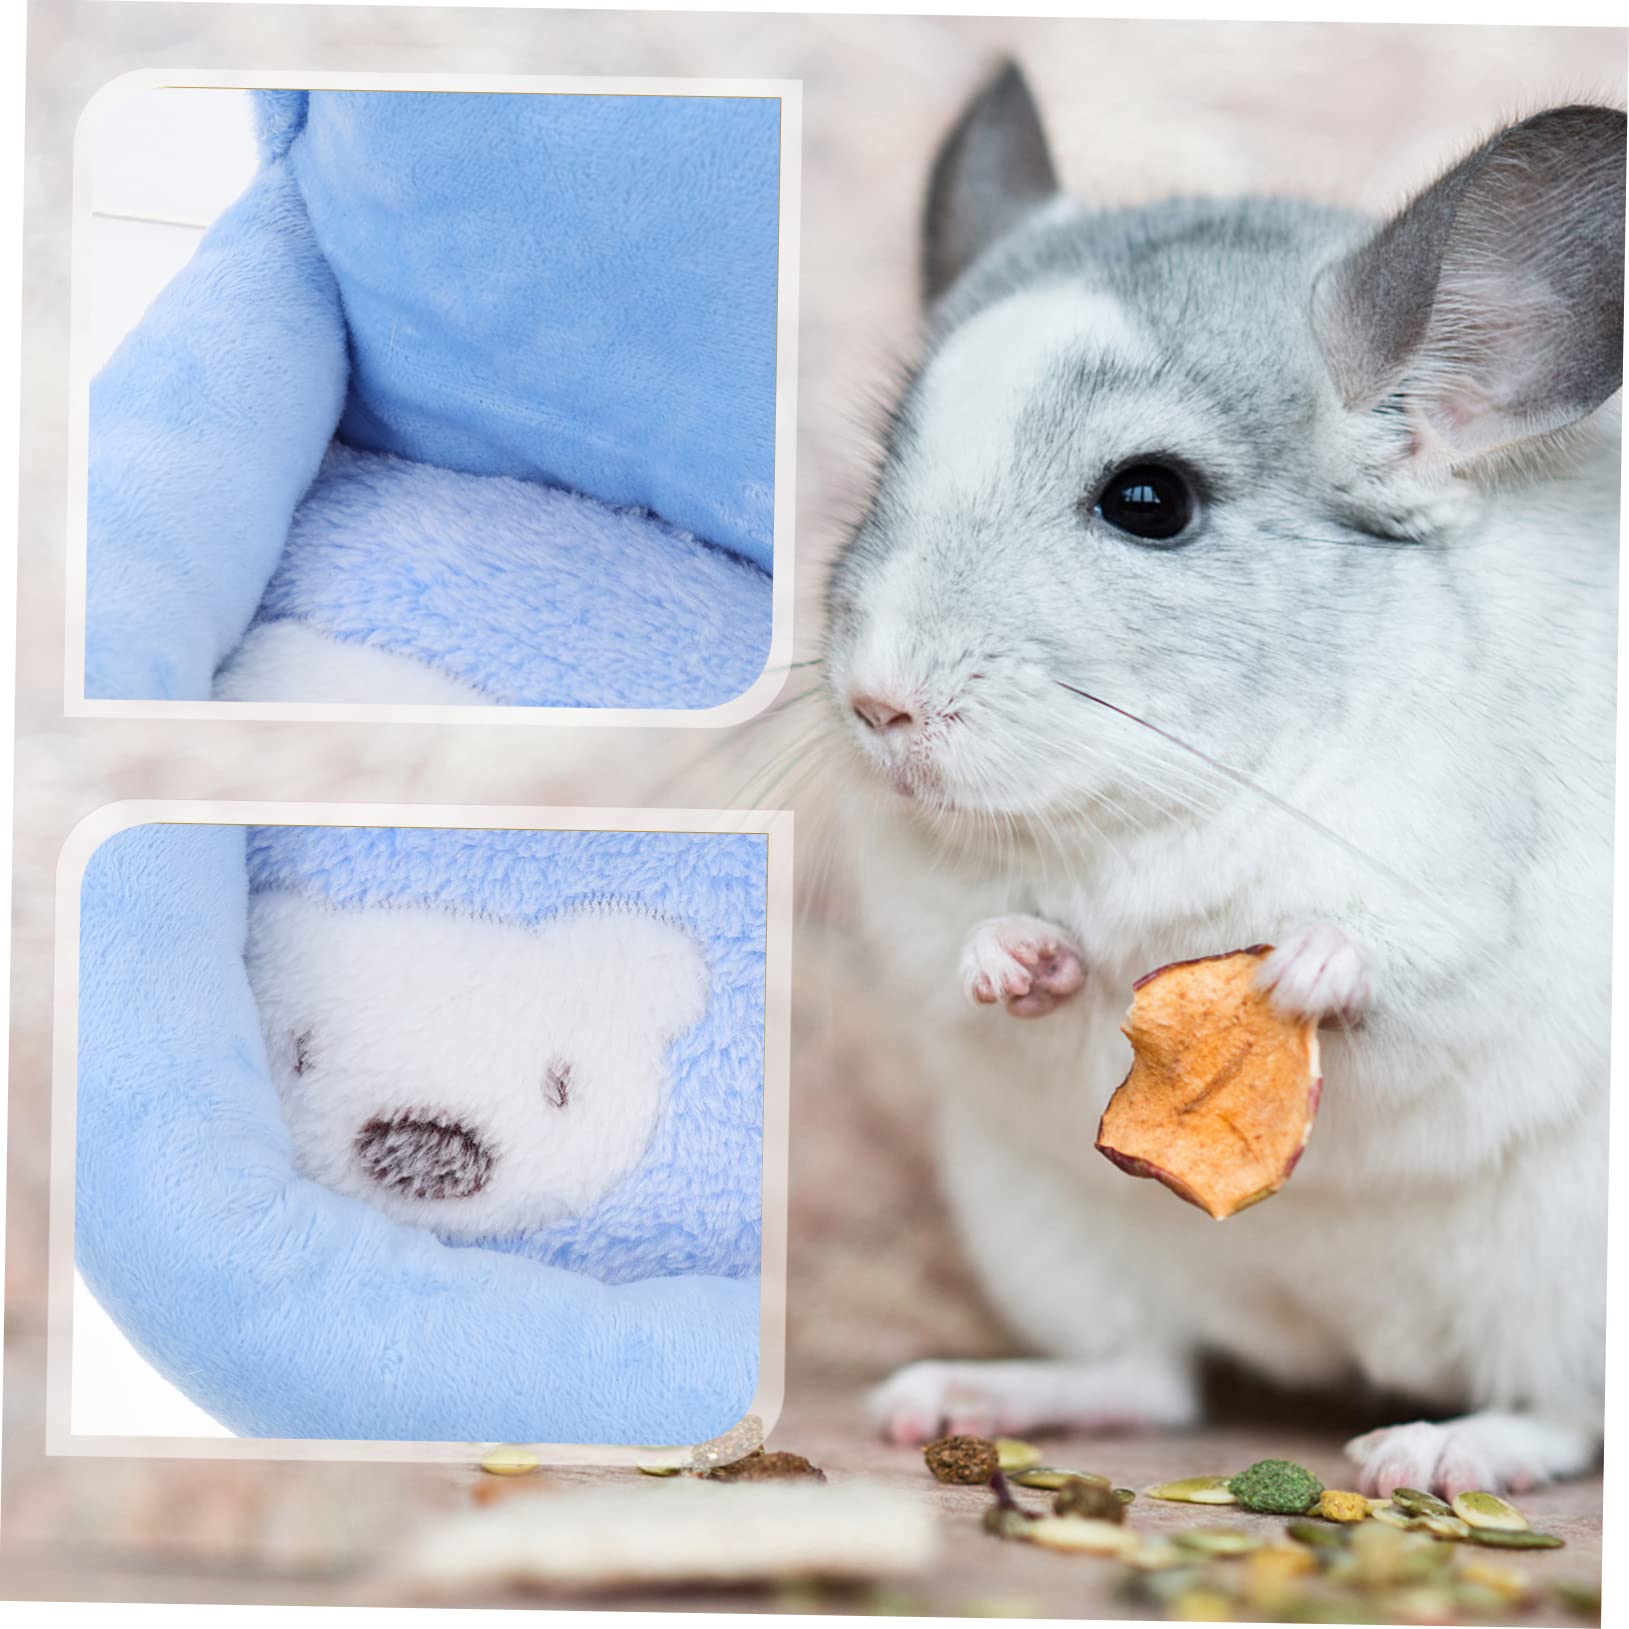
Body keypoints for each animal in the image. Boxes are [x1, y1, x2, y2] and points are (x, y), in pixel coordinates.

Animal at [823, 63, 1623, 1496]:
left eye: (1150, 499)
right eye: (886, 472)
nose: (877, 702)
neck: (1161, 807)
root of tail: (1345, 1344)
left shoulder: (1485, 925)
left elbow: (1420, 979)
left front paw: (1310, 965)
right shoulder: (916, 916)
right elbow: (966, 962)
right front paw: (1017, 960)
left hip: (1566, 1290)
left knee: (1558, 1415)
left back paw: (1435, 1452)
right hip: (1049, 1236)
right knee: (1152, 1376)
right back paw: (957, 1394)